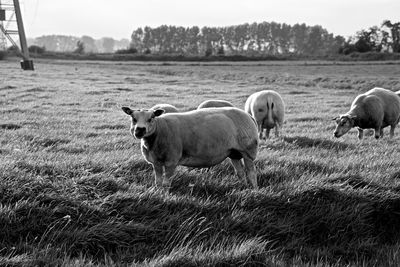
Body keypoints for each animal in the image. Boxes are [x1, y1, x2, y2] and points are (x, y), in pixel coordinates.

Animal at [122, 105, 260, 189]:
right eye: (133, 118)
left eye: (151, 118)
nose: (139, 130)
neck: (159, 130)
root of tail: (249, 116)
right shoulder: (156, 161)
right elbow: (158, 181)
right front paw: (158, 191)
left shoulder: (171, 160)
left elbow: (166, 182)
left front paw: (164, 194)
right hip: (234, 152)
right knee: (240, 172)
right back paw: (243, 187)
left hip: (248, 151)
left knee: (251, 173)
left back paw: (253, 189)